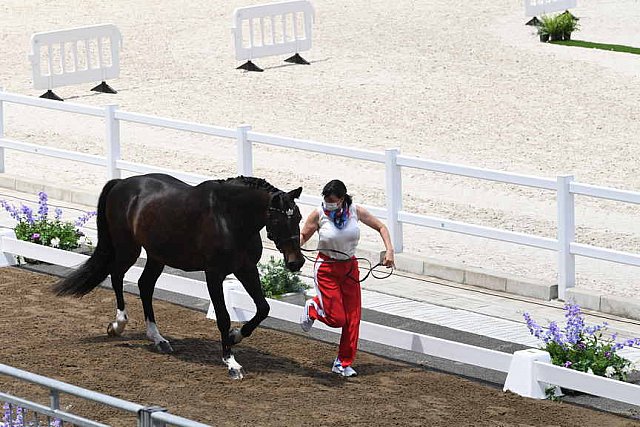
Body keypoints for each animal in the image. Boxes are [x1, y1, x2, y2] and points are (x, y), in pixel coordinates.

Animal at [52, 172, 302, 380]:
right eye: (279, 219)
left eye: (298, 217)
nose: (296, 262)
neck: (230, 217)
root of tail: (121, 183)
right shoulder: (214, 274)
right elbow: (223, 317)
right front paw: (231, 362)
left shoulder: (246, 269)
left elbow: (263, 309)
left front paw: (235, 336)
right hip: (128, 249)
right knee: (117, 276)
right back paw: (118, 325)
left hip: (156, 255)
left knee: (145, 285)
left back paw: (158, 338)